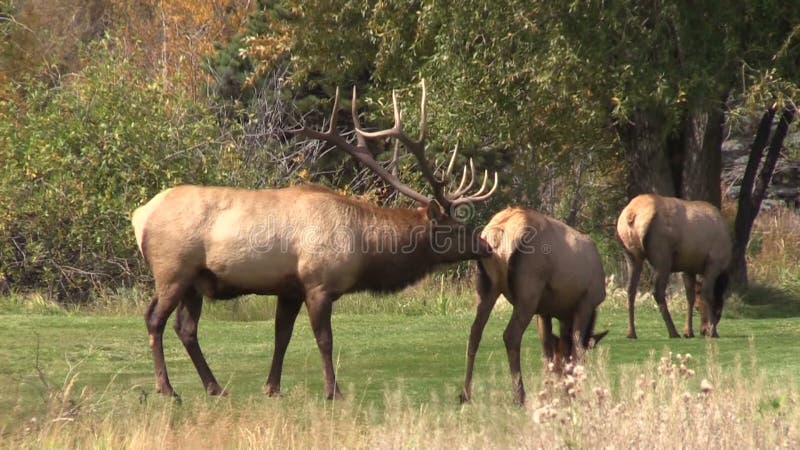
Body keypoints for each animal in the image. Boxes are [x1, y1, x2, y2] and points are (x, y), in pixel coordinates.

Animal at [132, 81, 496, 400]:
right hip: (173, 270)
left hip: (195, 282)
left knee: (186, 328)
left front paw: (272, 388)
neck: (366, 251)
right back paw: (167, 389)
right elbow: (324, 339)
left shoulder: (290, 288)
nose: (486, 245)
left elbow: (282, 336)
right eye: (453, 227)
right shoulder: (318, 283)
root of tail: (140, 216)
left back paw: (215, 387)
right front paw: (333, 391)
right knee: (155, 319)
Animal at [460, 207, 608, 404]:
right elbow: (576, 348)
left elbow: (547, 352)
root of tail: (499, 233)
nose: (564, 387)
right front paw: (573, 393)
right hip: (529, 290)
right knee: (511, 335)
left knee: (475, 331)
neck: (565, 315)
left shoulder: (544, 310)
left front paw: (549, 391)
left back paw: (465, 394)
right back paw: (519, 396)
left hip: (486, 285)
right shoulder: (586, 302)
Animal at [616, 192, 736, 338]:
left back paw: (631, 332)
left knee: (630, 290)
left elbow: (690, 297)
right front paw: (713, 332)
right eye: (719, 310)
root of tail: (631, 214)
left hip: (631, 255)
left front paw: (688, 331)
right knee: (658, 291)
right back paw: (673, 331)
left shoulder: (688, 268)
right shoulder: (714, 263)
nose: (703, 330)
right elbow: (707, 294)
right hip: (662, 256)